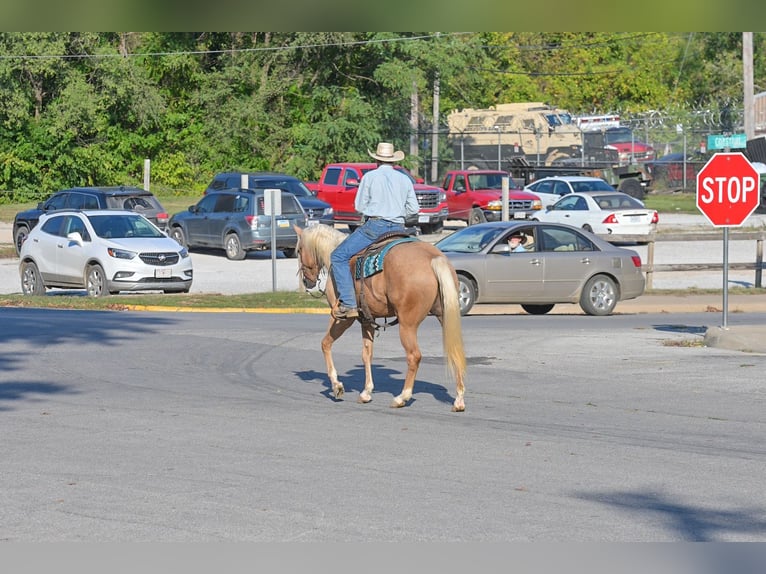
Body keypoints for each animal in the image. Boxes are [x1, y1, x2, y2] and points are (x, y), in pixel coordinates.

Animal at [294, 224, 466, 412]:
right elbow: (367, 354)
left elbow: (325, 344)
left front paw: (336, 386)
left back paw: (402, 397)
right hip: (445, 316)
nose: (307, 281)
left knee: (414, 356)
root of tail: (433, 257)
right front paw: (366, 392)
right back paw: (459, 400)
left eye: (299, 250)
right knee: (456, 350)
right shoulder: (367, 320)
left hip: (407, 324)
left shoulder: (342, 318)